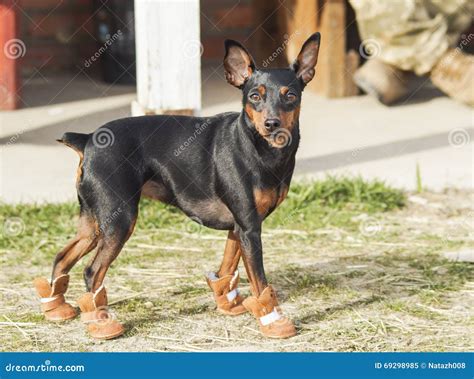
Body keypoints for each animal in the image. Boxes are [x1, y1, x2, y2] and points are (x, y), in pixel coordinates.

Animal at [34, 33, 322, 342]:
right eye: (254, 96)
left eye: (290, 96)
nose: (271, 124)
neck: (259, 149)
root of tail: (87, 139)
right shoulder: (249, 228)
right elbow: (259, 280)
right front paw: (272, 320)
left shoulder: (239, 227)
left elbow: (227, 267)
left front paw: (228, 303)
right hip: (120, 220)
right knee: (91, 271)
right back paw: (102, 323)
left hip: (93, 222)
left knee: (62, 257)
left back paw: (57, 308)